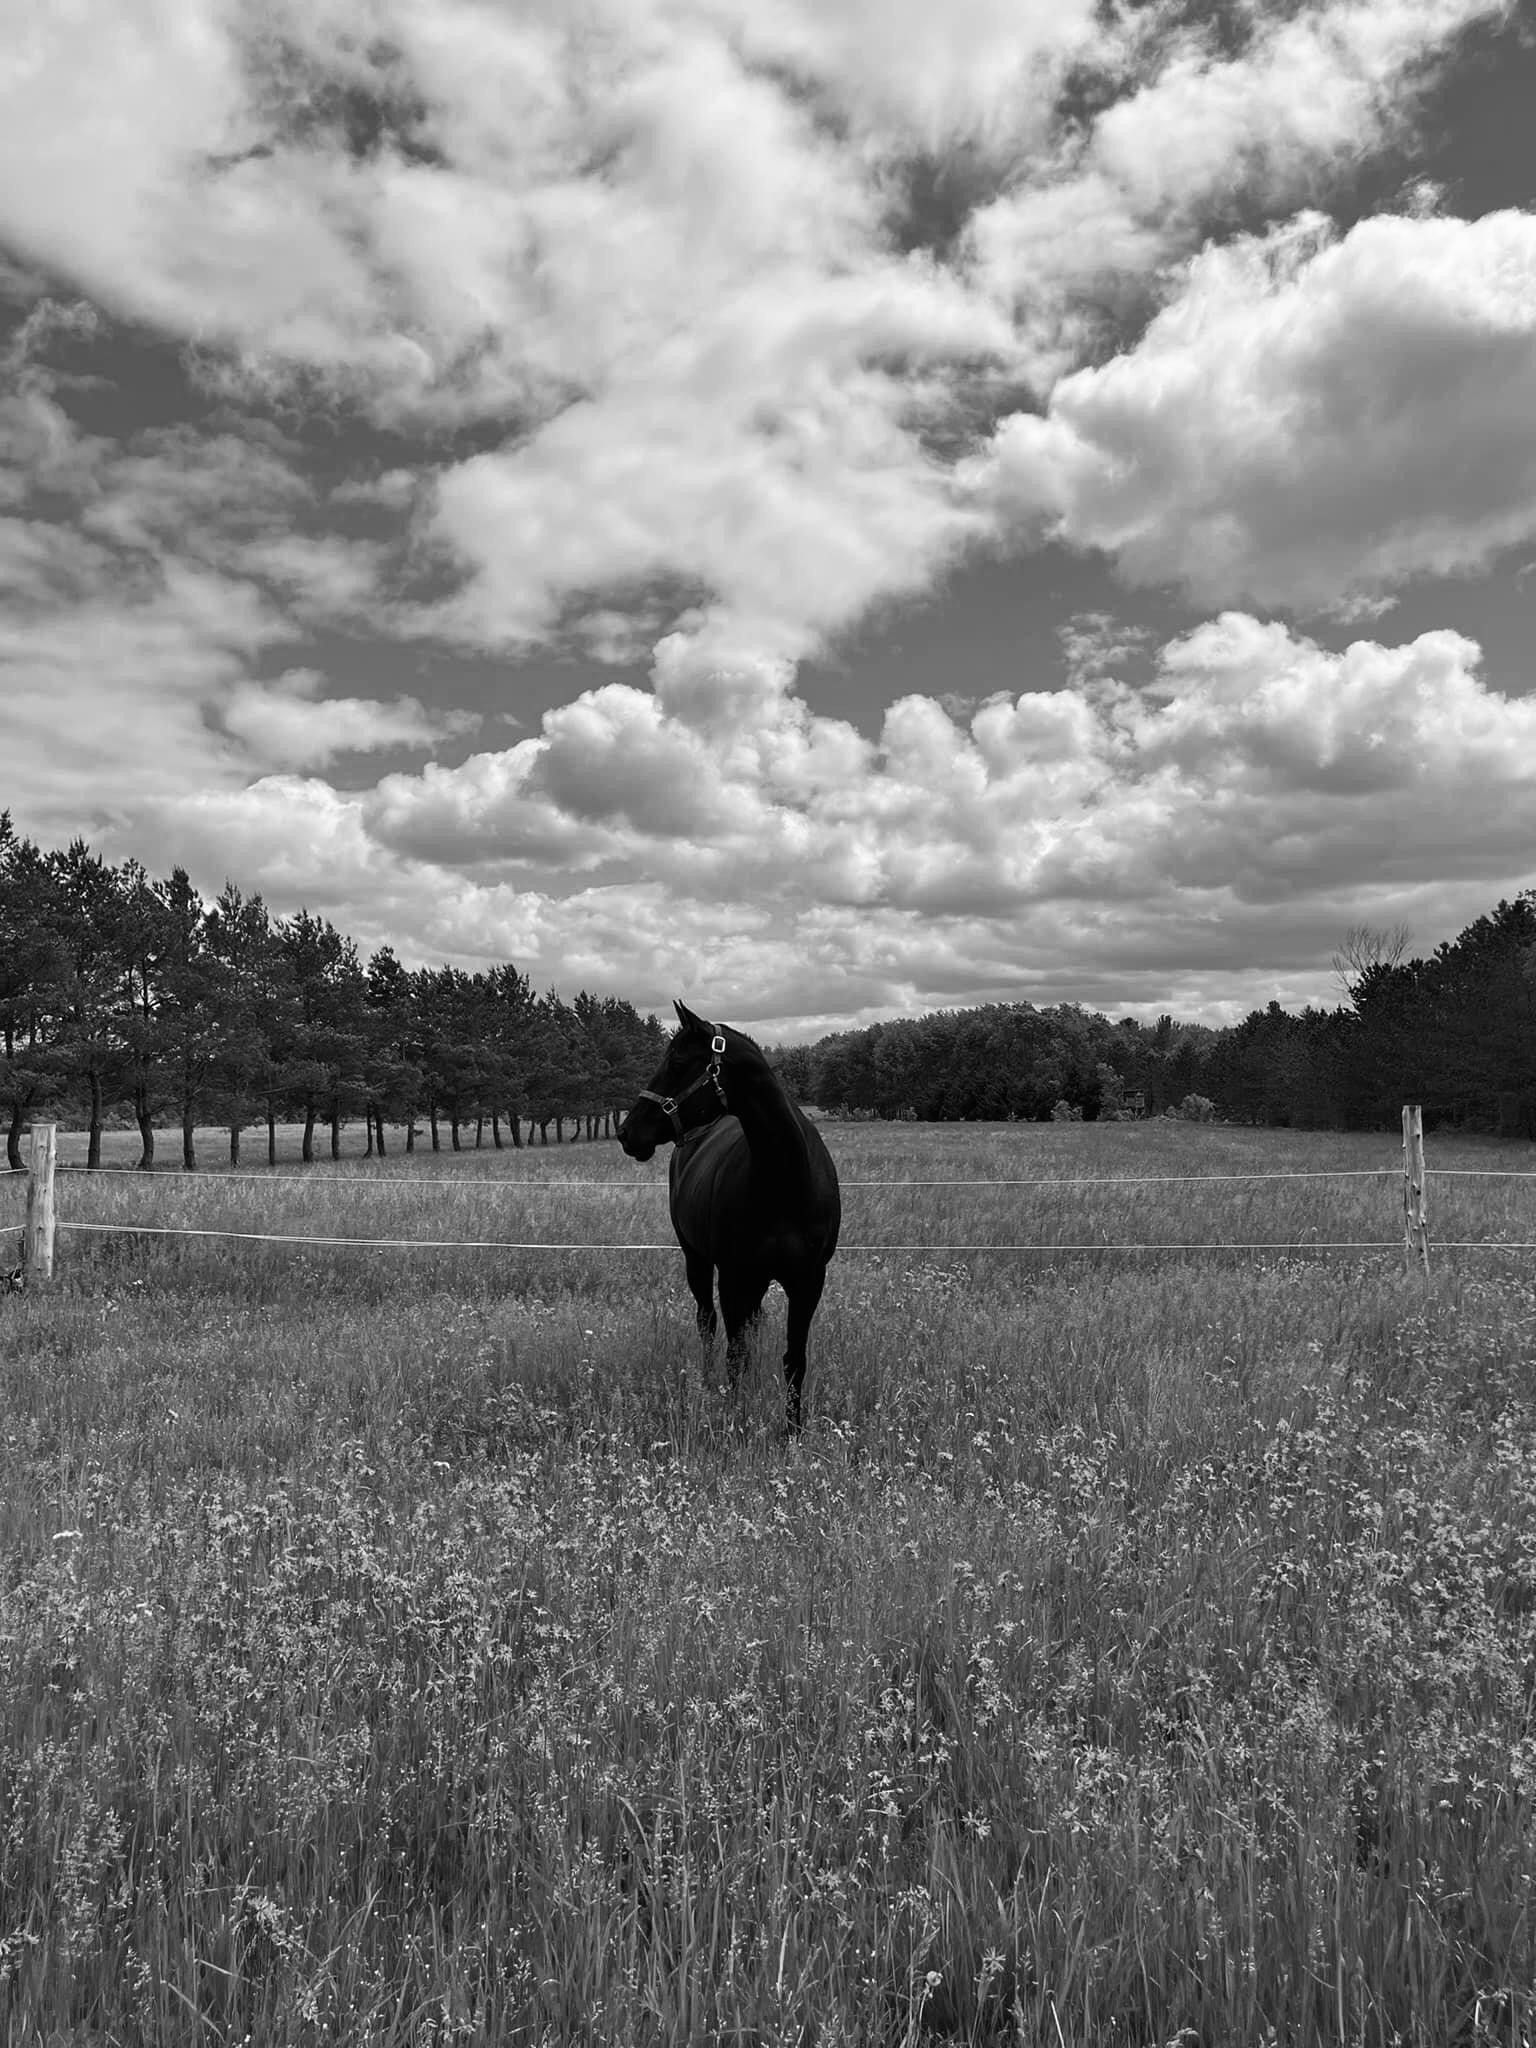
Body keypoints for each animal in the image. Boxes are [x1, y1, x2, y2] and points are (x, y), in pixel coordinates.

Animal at [622, 1003, 843, 1425]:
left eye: (677, 1062)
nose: (627, 1132)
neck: (785, 1181)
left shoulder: (808, 1281)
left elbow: (794, 1359)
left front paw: (792, 1429)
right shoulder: (733, 1276)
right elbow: (734, 1353)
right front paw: (735, 1417)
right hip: (698, 1260)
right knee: (707, 1323)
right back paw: (709, 1384)